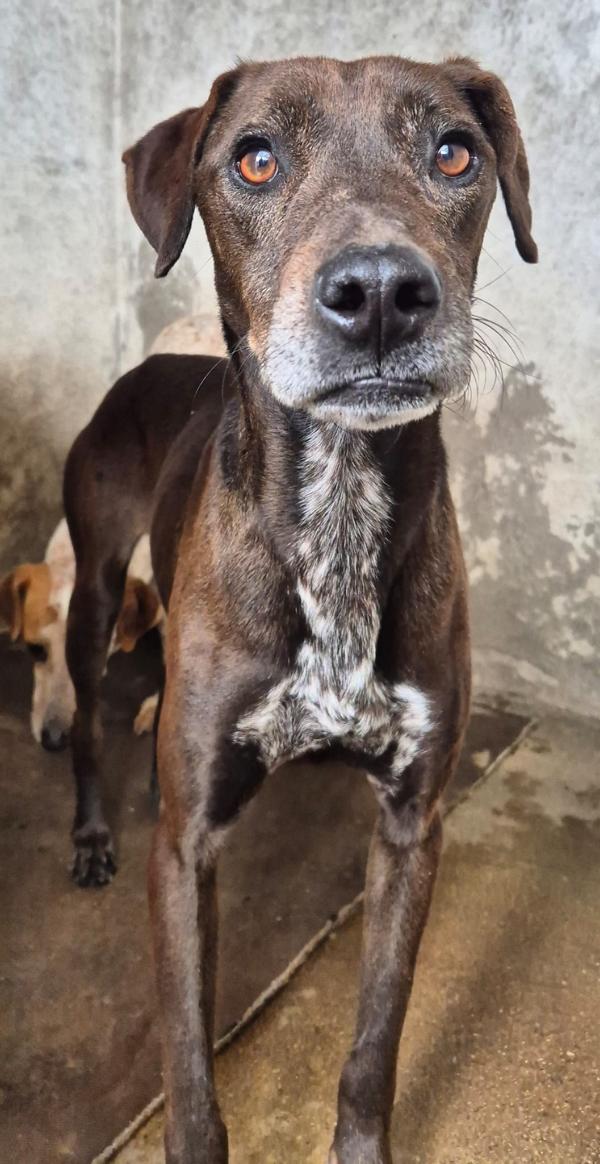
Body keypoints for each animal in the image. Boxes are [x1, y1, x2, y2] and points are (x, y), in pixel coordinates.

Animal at [121, 53, 537, 1162]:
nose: (382, 294)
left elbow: (374, 1041)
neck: (339, 514)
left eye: (455, 152)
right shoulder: (183, 848)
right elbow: (189, 1078)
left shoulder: (411, 827)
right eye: (255, 158)